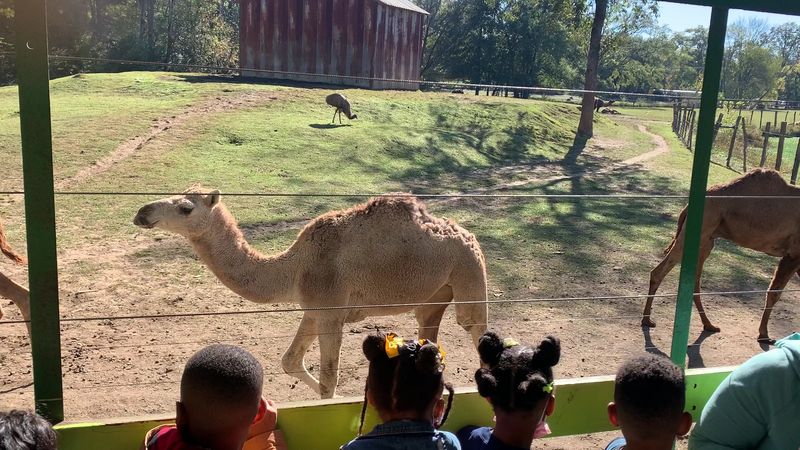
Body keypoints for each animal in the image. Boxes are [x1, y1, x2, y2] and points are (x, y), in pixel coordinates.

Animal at [133, 188, 488, 398]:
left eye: (185, 207)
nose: (142, 212)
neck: (295, 267)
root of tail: (468, 235)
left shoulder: (330, 310)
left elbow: (329, 379)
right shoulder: (313, 309)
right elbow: (289, 361)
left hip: (470, 273)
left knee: (475, 329)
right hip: (433, 297)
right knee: (431, 335)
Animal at [642, 169, 800, 343]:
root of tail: (686, 208)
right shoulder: (793, 254)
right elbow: (774, 293)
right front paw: (764, 335)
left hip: (706, 241)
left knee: (694, 281)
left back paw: (709, 325)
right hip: (700, 230)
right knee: (659, 272)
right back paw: (647, 320)